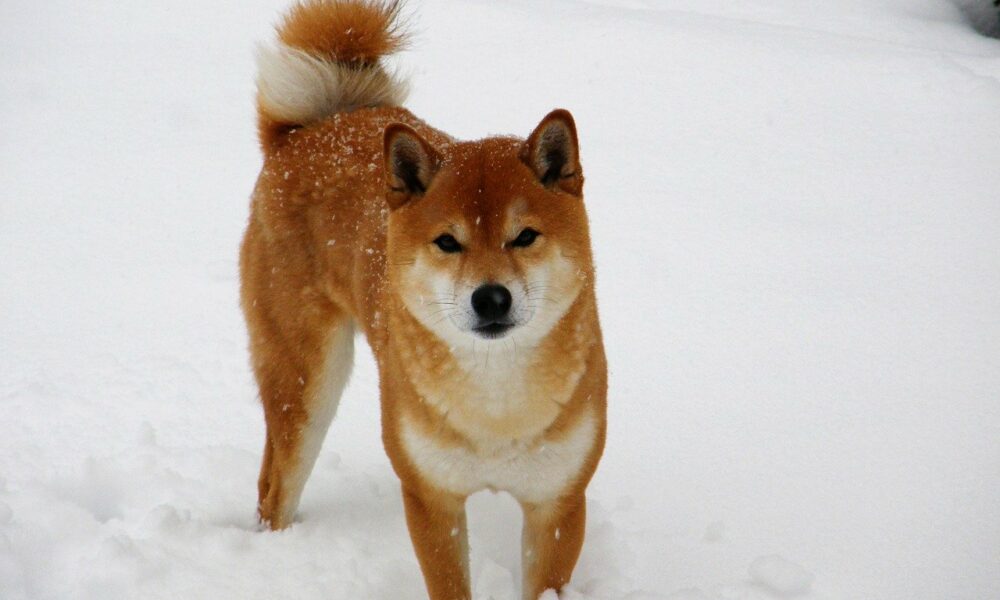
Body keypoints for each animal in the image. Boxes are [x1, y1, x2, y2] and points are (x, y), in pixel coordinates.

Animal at [238, 2, 604, 596]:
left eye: (524, 236)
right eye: (447, 242)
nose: (491, 298)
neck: (496, 403)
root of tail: (316, 126)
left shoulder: (556, 504)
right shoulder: (432, 499)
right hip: (307, 385)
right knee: (275, 488)